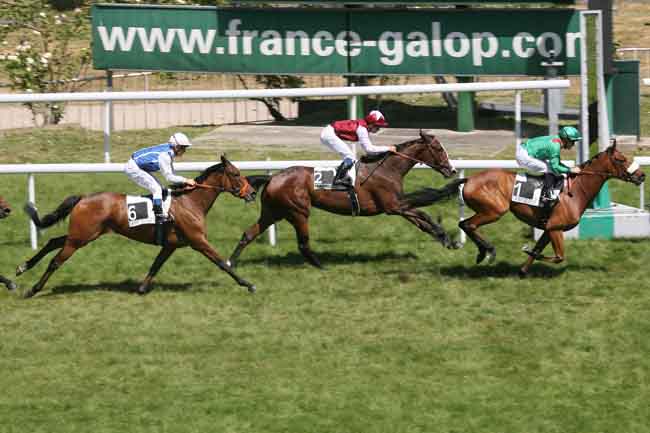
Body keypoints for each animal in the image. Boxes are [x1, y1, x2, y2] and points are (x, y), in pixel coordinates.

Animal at [16, 155, 256, 296]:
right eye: (235, 174)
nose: (253, 193)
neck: (190, 202)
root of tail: (83, 198)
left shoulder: (171, 245)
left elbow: (156, 265)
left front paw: (141, 288)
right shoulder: (198, 240)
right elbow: (221, 262)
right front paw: (247, 284)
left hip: (82, 234)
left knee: (53, 242)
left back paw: (23, 267)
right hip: (80, 238)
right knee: (56, 261)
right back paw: (33, 289)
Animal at [228, 130, 456, 268]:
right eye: (438, 149)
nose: (452, 170)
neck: (387, 169)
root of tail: (273, 177)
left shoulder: (398, 206)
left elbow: (421, 222)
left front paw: (446, 240)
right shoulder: (393, 206)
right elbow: (424, 214)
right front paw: (447, 237)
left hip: (272, 212)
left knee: (248, 234)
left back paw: (230, 262)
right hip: (298, 212)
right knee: (303, 243)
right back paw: (321, 266)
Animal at [402, 143, 640, 276]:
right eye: (621, 159)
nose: (642, 175)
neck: (575, 191)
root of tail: (469, 179)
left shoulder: (549, 229)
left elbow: (541, 250)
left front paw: (523, 270)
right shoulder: (556, 228)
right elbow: (558, 257)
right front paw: (526, 250)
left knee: (466, 224)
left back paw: (483, 252)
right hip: (494, 211)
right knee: (466, 224)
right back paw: (487, 251)